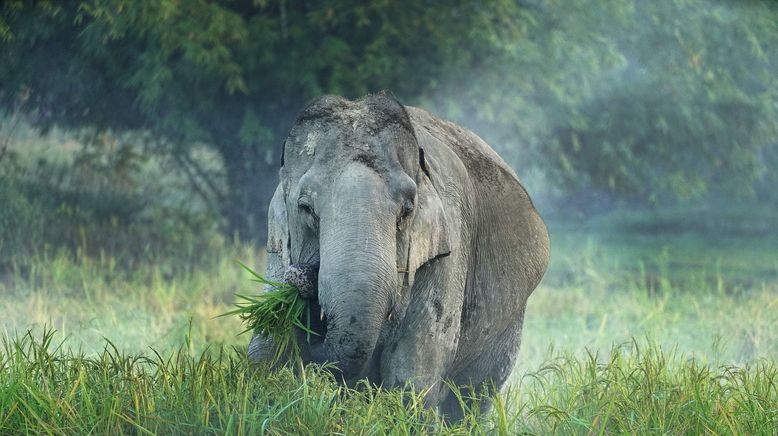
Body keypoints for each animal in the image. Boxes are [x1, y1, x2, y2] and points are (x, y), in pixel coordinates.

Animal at [247, 91, 544, 416]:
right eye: (305, 208)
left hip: (510, 322)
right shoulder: (278, 252)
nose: (301, 277)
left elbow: (412, 378)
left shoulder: (448, 249)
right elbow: (265, 353)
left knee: (472, 398)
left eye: (407, 211)